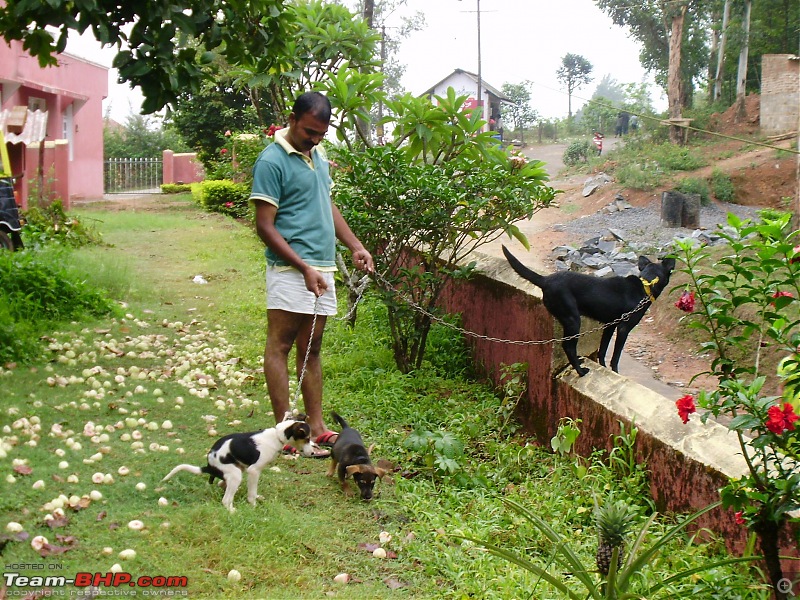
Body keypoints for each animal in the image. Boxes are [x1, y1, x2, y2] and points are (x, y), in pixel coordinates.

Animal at [162, 418, 312, 510]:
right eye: (307, 438)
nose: (312, 453)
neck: (276, 436)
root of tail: (209, 466)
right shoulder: (254, 471)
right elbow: (252, 493)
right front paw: (253, 506)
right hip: (235, 474)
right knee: (226, 499)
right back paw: (232, 511)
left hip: (235, 471)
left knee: (222, 485)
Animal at [500, 244, 676, 376]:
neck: (646, 284)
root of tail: (546, 280)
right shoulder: (623, 328)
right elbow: (616, 356)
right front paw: (615, 372)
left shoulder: (610, 325)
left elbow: (602, 350)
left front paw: (604, 368)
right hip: (573, 320)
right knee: (568, 347)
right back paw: (580, 371)